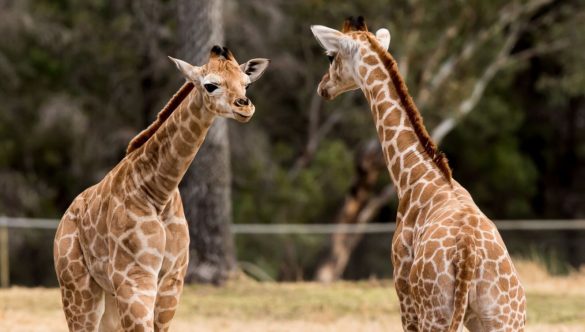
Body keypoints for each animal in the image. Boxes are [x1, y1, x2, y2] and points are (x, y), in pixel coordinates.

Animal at [53, 44, 268, 332]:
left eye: (246, 83)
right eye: (210, 85)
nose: (245, 106)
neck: (159, 191)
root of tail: (64, 220)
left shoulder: (172, 279)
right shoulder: (134, 276)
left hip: (107, 298)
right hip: (79, 290)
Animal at [310, 17, 524, 332]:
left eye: (330, 56)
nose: (322, 87)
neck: (414, 175)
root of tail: (469, 255)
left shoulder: (403, 293)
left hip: (433, 313)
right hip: (505, 319)